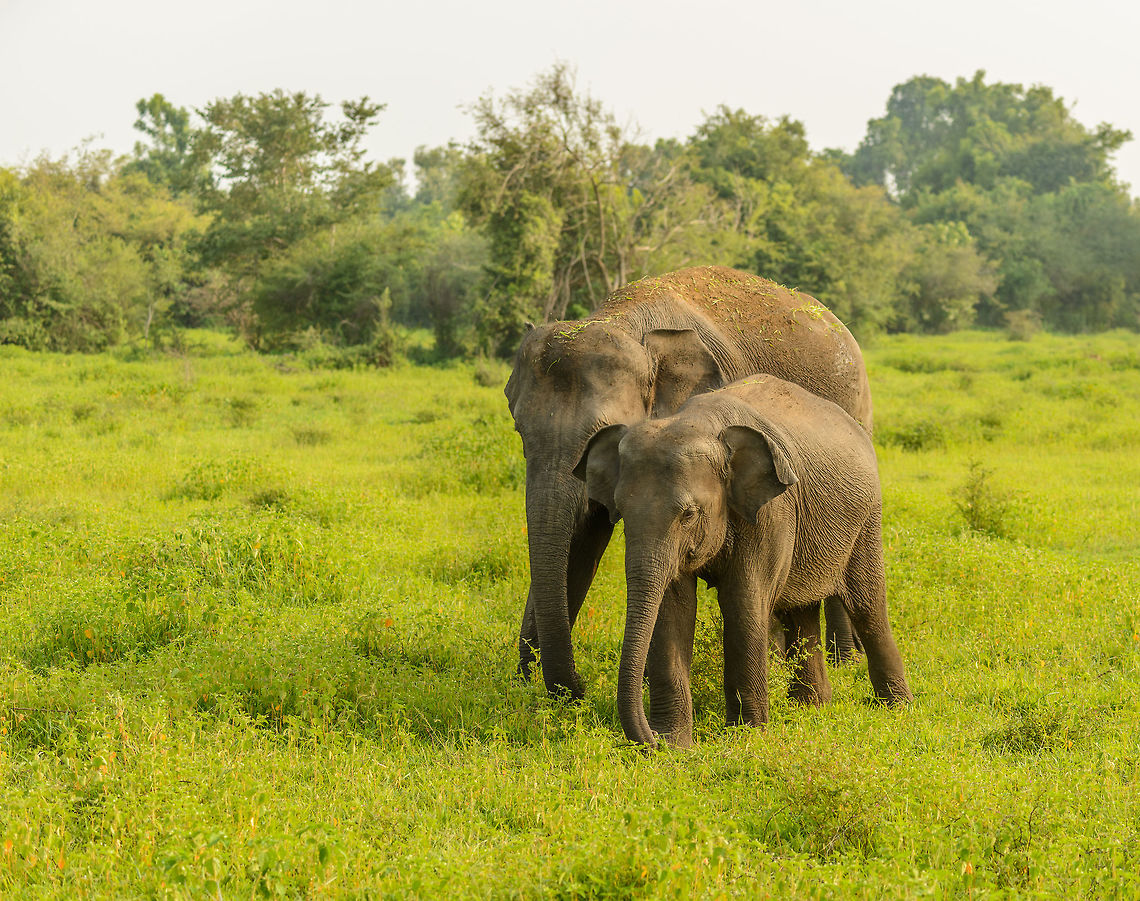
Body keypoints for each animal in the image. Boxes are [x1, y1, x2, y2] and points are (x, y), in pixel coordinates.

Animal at [505, 266, 871, 699]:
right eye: (519, 430)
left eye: (599, 431)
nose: (577, 689)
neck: (622, 320)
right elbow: (583, 542)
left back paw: (842, 659)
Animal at [574, 374, 913, 747]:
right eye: (620, 511)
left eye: (688, 515)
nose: (649, 740)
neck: (700, 423)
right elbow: (672, 606)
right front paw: (675, 744)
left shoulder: (772, 510)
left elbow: (743, 602)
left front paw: (745, 737)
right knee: (800, 611)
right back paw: (811, 707)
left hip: (866, 519)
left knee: (867, 606)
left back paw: (896, 708)